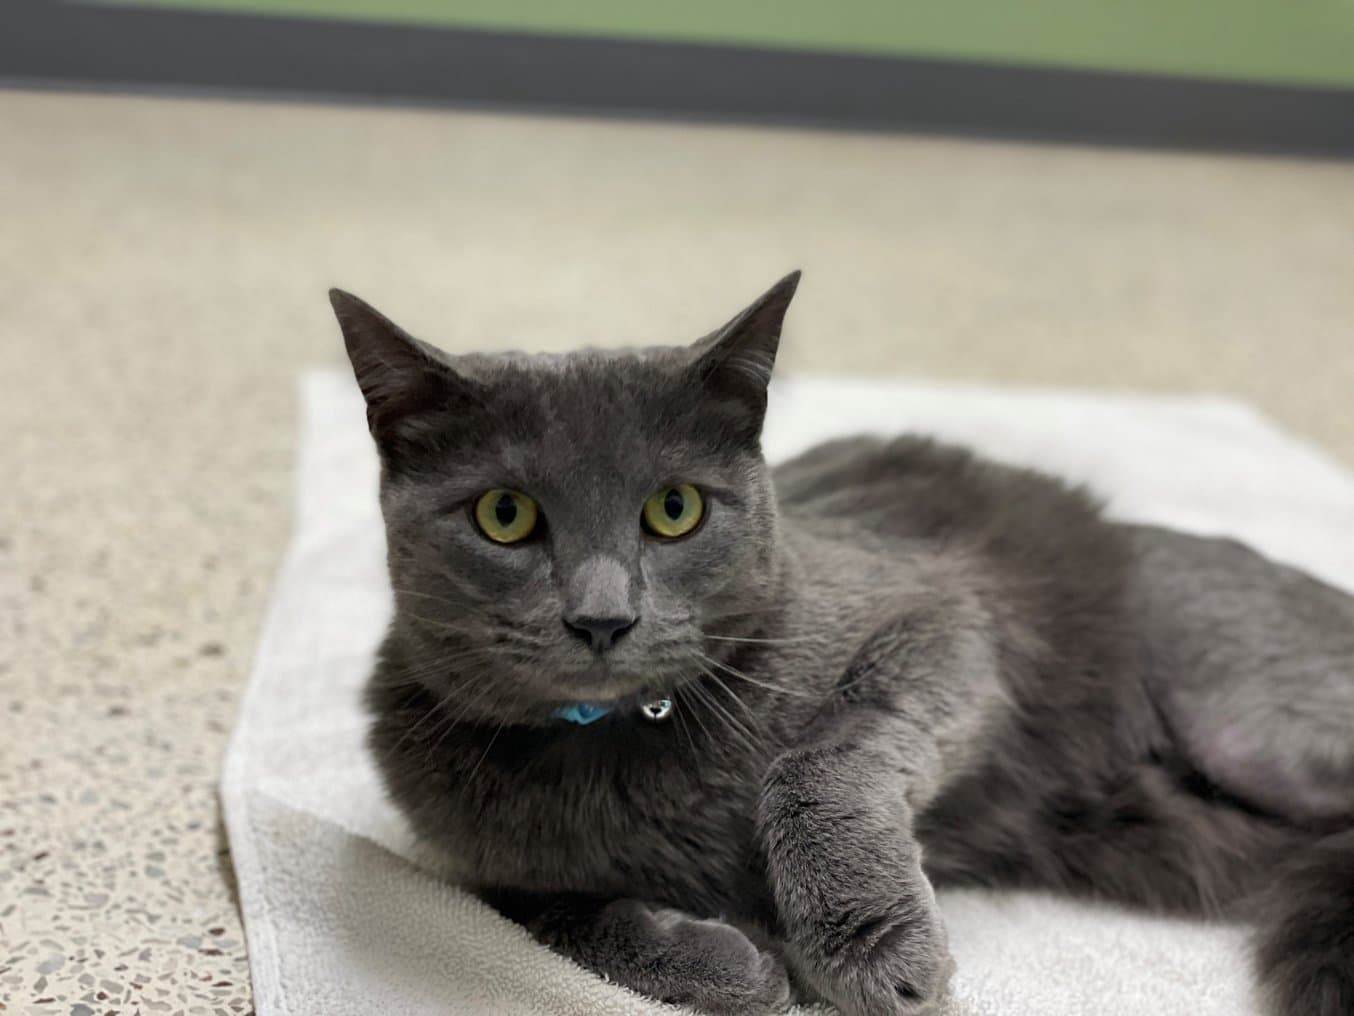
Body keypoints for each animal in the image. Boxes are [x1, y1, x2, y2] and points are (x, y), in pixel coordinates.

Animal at [330, 276, 1354, 1016]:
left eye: (675, 509)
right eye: (504, 516)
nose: (602, 617)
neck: (617, 746)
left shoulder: (945, 619)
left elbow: (821, 759)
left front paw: (871, 948)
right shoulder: (466, 859)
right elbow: (537, 913)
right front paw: (728, 964)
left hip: (1250, 728)